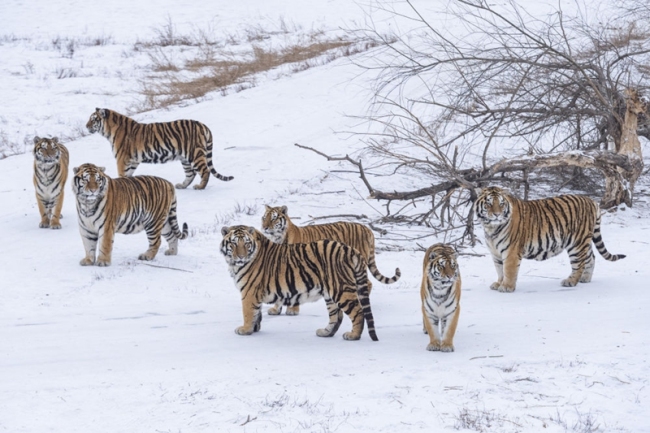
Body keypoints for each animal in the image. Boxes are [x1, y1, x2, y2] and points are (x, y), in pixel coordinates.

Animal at [86, 107, 233, 188]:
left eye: (93, 119)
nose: (86, 126)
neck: (109, 131)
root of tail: (203, 125)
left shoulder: (122, 159)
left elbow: (122, 175)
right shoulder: (133, 161)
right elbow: (128, 175)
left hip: (194, 153)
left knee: (205, 171)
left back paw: (200, 187)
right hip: (184, 158)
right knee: (190, 174)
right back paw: (182, 185)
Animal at [220, 224, 378, 340]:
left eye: (246, 244)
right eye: (233, 243)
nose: (241, 257)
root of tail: (350, 249)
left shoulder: (249, 292)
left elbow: (248, 312)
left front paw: (245, 330)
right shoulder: (254, 293)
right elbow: (256, 313)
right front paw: (254, 328)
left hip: (341, 289)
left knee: (358, 311)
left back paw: (353, 335)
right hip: (330, 293)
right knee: (336, 316)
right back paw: (326, 333)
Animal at [260, 205, 398, 314]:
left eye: (273, 218)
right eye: (264, 218)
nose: (264, 227)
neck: (277, 239)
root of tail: (367, 229)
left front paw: (292, 311)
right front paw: (275, 310)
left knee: (367, 283)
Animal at [474, 184, 624, 292]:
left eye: (501, 204)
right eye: (488, 204)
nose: (497, 215)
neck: (491, 228)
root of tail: (591, 201)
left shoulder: (511, 252)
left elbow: (508, 270)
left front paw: (506, 287)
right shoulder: (496, 253)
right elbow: (500, 270)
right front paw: (498, 283)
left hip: (577, 243)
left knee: (579, 263)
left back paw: (571, 281)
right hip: (584, 242)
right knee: (591, 257)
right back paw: (585, 278)